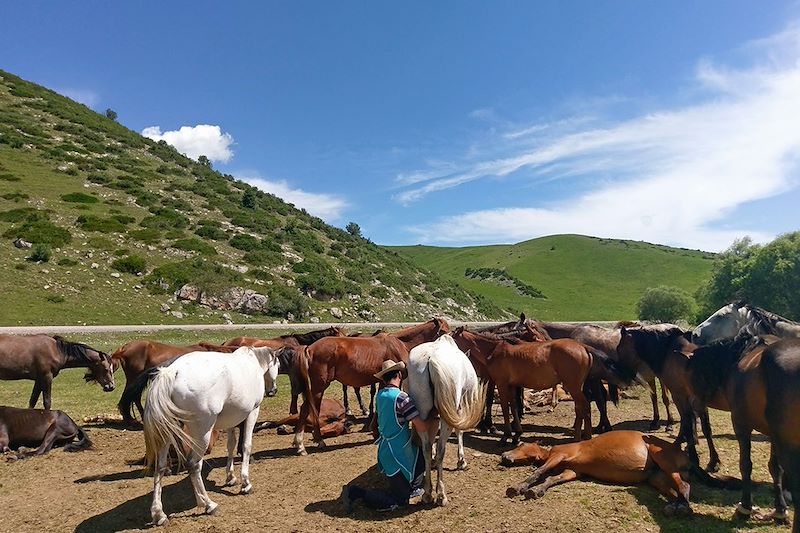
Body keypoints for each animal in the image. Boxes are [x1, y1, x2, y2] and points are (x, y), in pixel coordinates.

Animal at [144, 344, 282, 524]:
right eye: (278, 365)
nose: (273, 390)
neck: (253, 363)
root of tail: (172, 372)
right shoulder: (252, 412)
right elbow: (246, 446)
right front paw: (245, 483)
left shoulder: (231, 421)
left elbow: (231, 446)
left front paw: (230, 477)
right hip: (202, 433)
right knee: (194, 465)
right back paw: (209, 504)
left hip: (167, 433)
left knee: (160, 467)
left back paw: (159, 513)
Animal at [292, 318, 450, 456]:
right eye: (443, 331)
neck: (401, 343)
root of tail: (310, 348)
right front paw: (375, 430)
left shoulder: (383, 380)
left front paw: (374, 431)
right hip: (319, 387)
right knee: (307, 409)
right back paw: (307, 444)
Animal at [406, 334, 488, 504]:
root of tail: (430, 360)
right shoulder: (459, 409)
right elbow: (459, 431)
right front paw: (461, 461)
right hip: (447, 416)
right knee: (441, 450)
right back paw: (441, 494)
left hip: (422, 414)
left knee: (426, 447)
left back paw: (428, 493)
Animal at [450, 326, 632, 442]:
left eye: (451, 338)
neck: (494, 350)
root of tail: (583, 347)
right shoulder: (511, 385)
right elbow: (513, 406)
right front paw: (517, 434)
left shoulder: (501, 384)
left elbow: (505, 407)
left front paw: (506, 435)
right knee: (582, 407)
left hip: (573, 386)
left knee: (584, 405)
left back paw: (582, 436)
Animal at [504, 432, 692, 516]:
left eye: (521, 444)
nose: (504, 455)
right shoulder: (572, 471)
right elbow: (552, 478)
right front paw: (538, 490)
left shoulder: (559, 456)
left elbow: (540, 472)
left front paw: (520, 487)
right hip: (657, 478)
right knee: (676, 492)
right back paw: (675, 507)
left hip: (664, 461)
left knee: (684, 486)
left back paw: (682, 508)